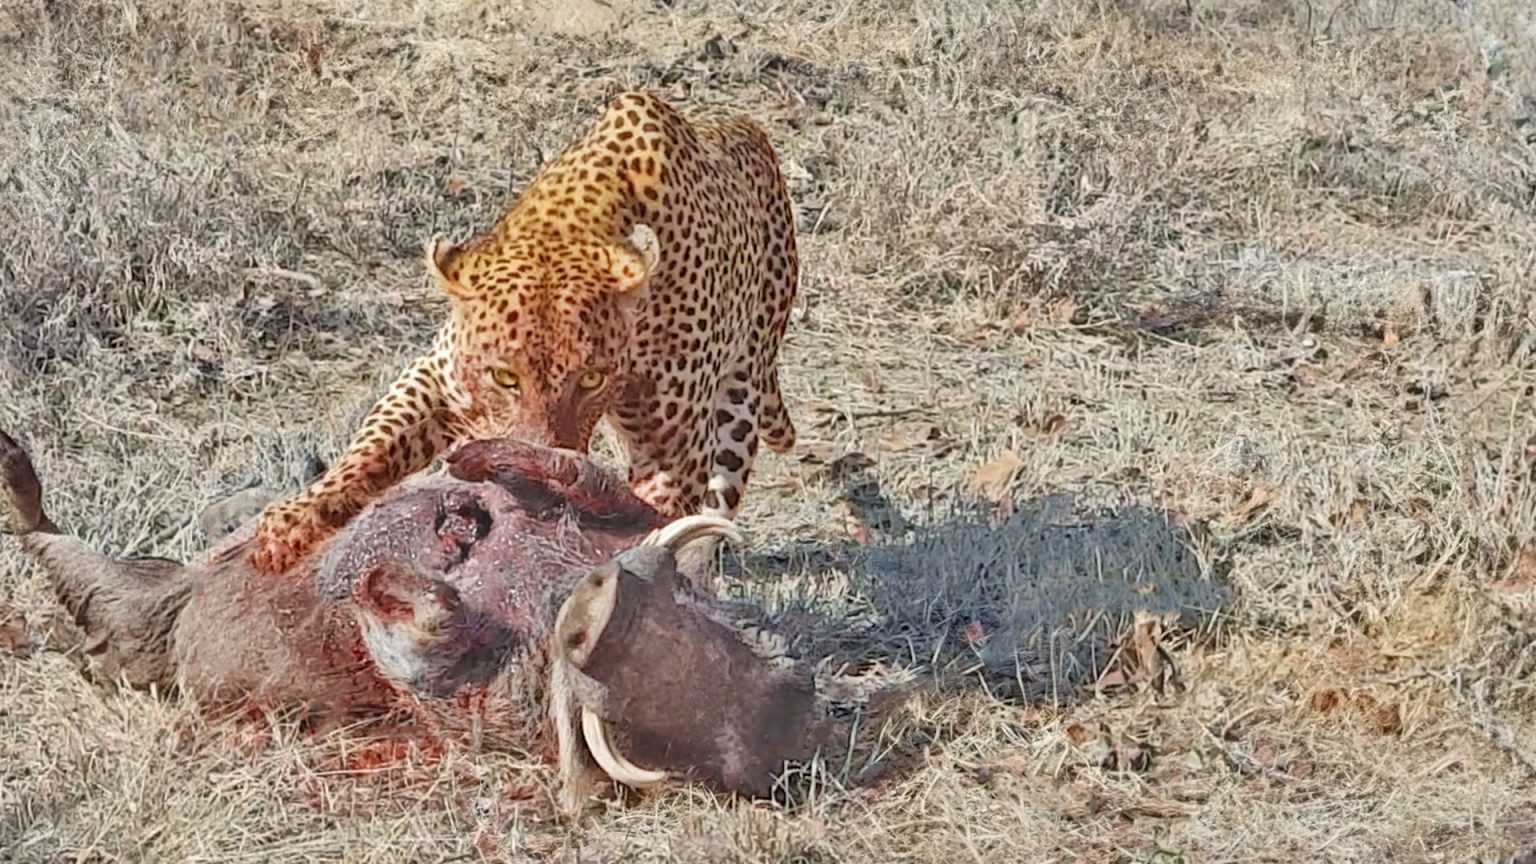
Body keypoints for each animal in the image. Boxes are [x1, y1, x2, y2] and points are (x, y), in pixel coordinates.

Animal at [245, 89, 798, 571]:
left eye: (590, 378)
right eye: (504, 378)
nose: (532, 481)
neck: (571, 223)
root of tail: (745, 128)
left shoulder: (673, 452)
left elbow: (645, 517)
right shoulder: (439, 376)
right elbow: (371, 446)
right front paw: (293, 522)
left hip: (741, 393)